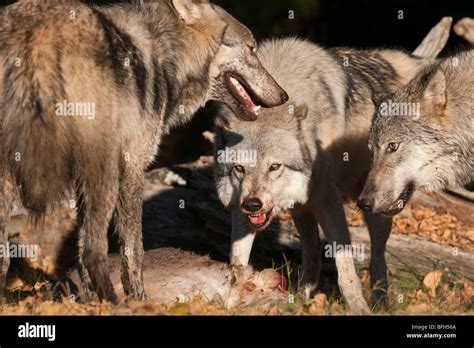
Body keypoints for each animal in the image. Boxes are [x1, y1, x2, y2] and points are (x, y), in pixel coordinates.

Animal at [0, 0, 286, 304]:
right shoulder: (133, 166)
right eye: (251, 47)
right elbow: (132, 250)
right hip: (103, 174)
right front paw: (138, 297)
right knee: (93, 249)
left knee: (8, 255)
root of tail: (38, 32)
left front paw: (88, 300)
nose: (284, 96)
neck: (166, 54)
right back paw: (116, 304)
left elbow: (79, 248)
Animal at [213, 19, 450, 312]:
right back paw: (302, 297)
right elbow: (237, 264)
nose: (254, 204)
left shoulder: (329, 201)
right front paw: (229, 304)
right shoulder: (241, 207)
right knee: (312, 251)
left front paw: (358, 308)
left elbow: (345, 266)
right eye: (239, 170)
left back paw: (379, 303)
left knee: (377, 258)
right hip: (302, 209)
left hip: (374, 207)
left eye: (275, 167)